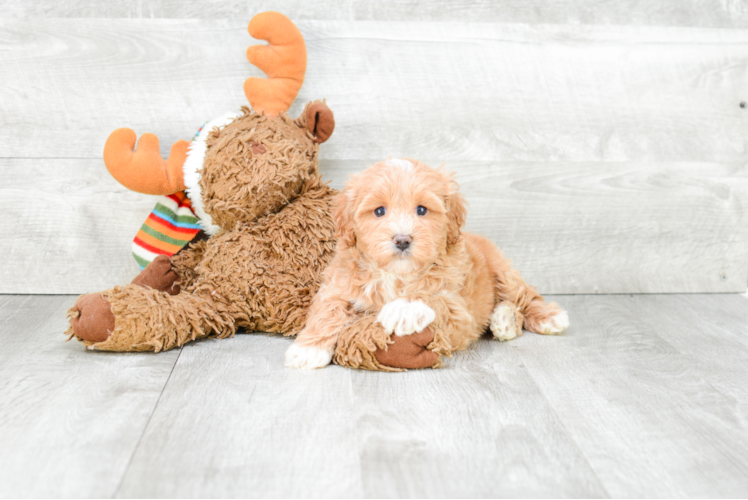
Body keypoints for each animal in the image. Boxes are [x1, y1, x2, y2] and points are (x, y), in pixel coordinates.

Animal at [284, 158, 568, 370]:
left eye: (421, 210)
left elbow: (432, 296)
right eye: (379, 211)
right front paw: (308, 349)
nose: (402, 239)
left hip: (502, 272)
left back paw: (541, 318)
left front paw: (404, 308)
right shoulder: (338, 283)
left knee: (526, 297)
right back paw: (504, 319)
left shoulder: (458, 312)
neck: (395, 275)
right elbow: (328, 309)